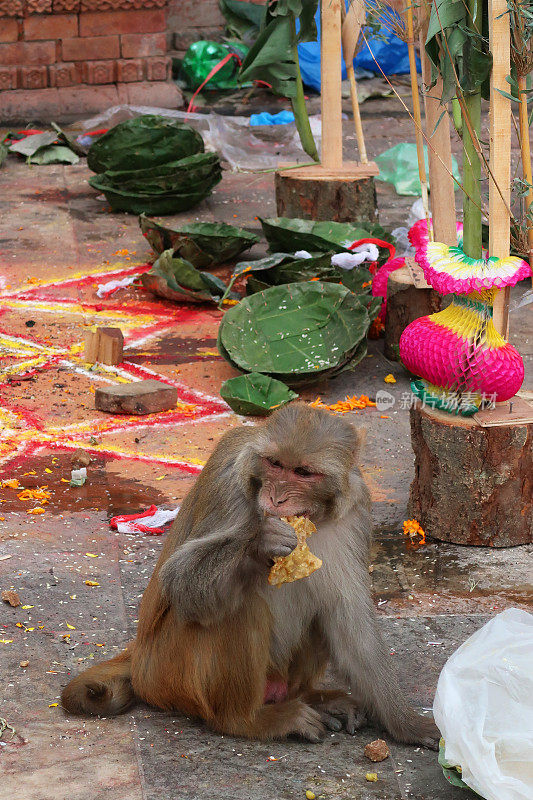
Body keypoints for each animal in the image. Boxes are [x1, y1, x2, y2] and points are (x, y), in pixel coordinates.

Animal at [61, 404, 436, 748]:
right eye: (274, 464)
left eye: (303, 472)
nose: (276, 497)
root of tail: (139, 657)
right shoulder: (227, 484)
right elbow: (179, 581)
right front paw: (259, 542)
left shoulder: (356, 509)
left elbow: (349, 617)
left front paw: (406, 724)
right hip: (169, 675)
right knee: (238, 606)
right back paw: (247, 721)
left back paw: (312, 700)